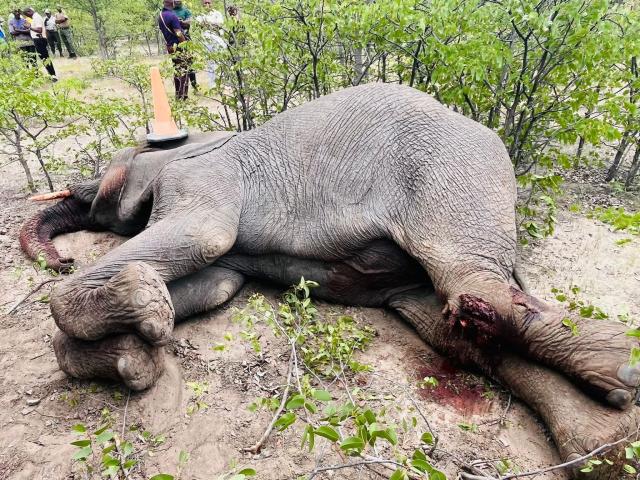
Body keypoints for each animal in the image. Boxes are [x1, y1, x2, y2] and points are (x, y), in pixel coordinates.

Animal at [19, 83, 639, 476]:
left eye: (104, 171)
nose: (62, 259)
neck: (199, 140)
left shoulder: (200, 179)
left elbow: (205, 236)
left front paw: (140, 307)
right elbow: (215, 284)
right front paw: (131, 355)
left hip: (451, 175)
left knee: (472, 288)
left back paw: (619, 370)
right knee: (458, 332)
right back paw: (605, 438)